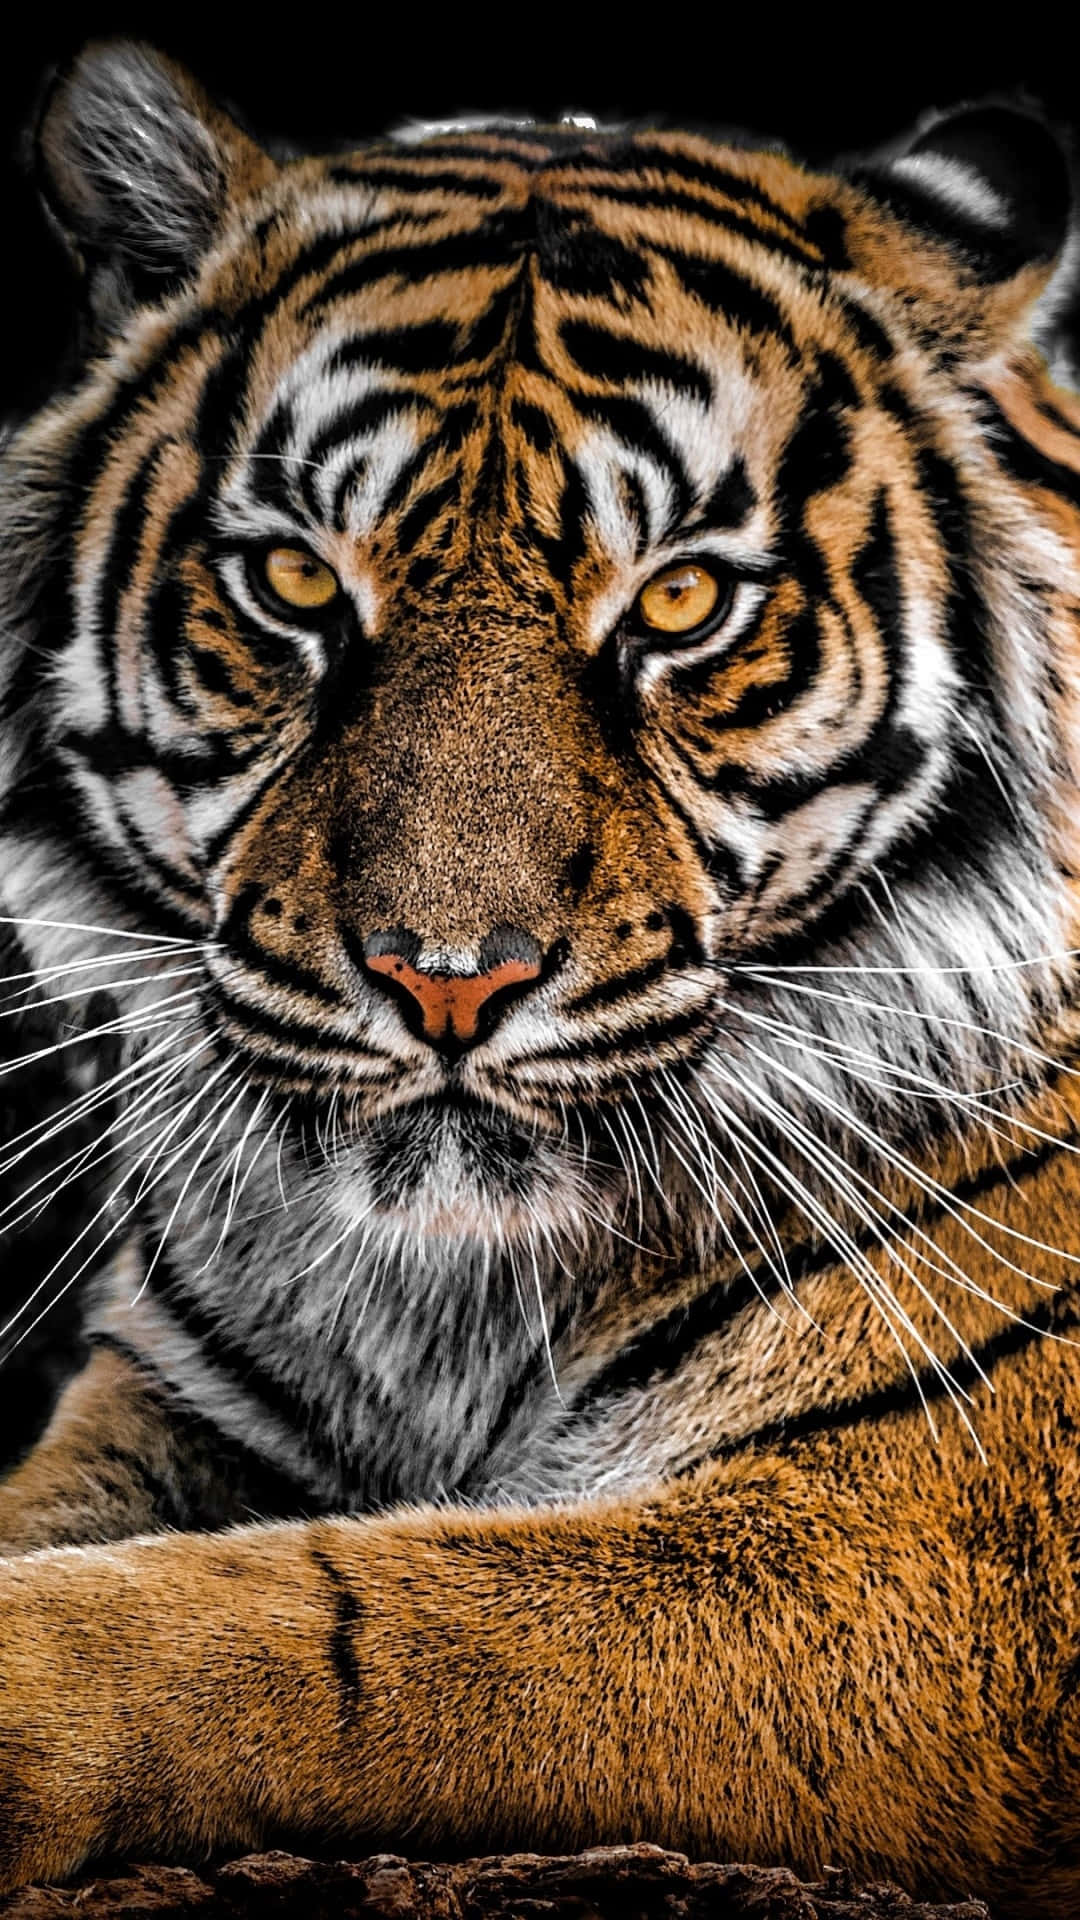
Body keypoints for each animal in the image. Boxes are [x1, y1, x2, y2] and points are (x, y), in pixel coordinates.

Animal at [2, 37, 1080, 1917]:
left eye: (686, 603)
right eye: (294, 579)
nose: (446, 979)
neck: (443, 1301)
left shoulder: (920, 1552)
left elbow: (328, 1626)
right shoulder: (172, 1405)